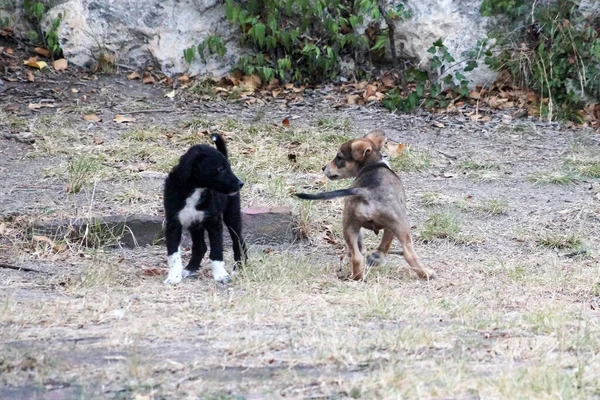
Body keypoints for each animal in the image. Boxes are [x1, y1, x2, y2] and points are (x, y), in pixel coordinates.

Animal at [162, 134, 246, 284]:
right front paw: (173, 277)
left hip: (232, 215)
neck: (196, 189)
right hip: (195, 225)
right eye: (220, 168)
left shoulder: (214, 222)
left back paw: (239, 267)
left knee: (239, 242)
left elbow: (217, 251)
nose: (240, 184)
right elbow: (173, 254)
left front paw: (221, 275)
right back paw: (190, 269)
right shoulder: (173, 223)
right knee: (200, 247)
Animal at [296, 130, 434, 280]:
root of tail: (366, 192)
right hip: (400, 224)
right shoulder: (391, 227)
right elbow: (385, 244)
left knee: (357, 257)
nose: (323, 167)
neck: (374, 164)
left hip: (349, 225)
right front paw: (377, 257)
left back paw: (357, 276)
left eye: (339, 157)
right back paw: (426, 272)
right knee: (409, 254)